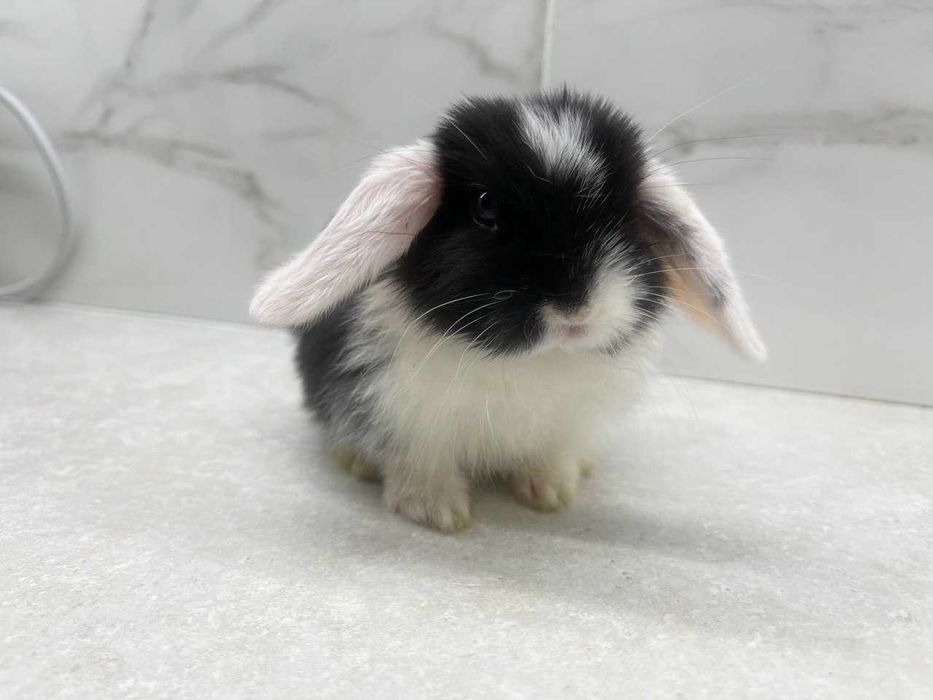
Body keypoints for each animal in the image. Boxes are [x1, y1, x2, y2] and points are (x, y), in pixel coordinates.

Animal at [250, 90, 765, 531]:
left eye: (624, 216)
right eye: (485, 208)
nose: (575, 309)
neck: (531, 361)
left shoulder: (566, 423)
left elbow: (548, 457)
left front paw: (551, 493)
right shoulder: (404, 416)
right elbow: (422, 464)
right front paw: (436, 512)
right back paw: (356, 462)